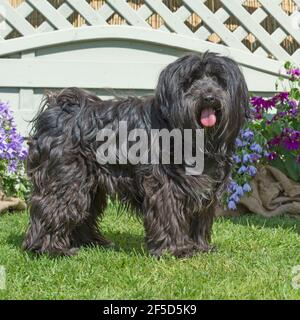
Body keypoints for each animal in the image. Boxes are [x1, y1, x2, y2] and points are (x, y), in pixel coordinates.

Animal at [22, 52, 248, 258]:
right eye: (191, 81)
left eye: (218, 80)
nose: (209, 97)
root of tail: (58, 106)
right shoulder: (165, 185)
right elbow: (169, 214)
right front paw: (177, 250)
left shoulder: (202, 187)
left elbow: (199, 217)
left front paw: (200, 247)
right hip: (66, 177)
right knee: (54, 206)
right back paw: (50, 248)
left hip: (90, 184)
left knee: (84, 211)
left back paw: (90, 242)